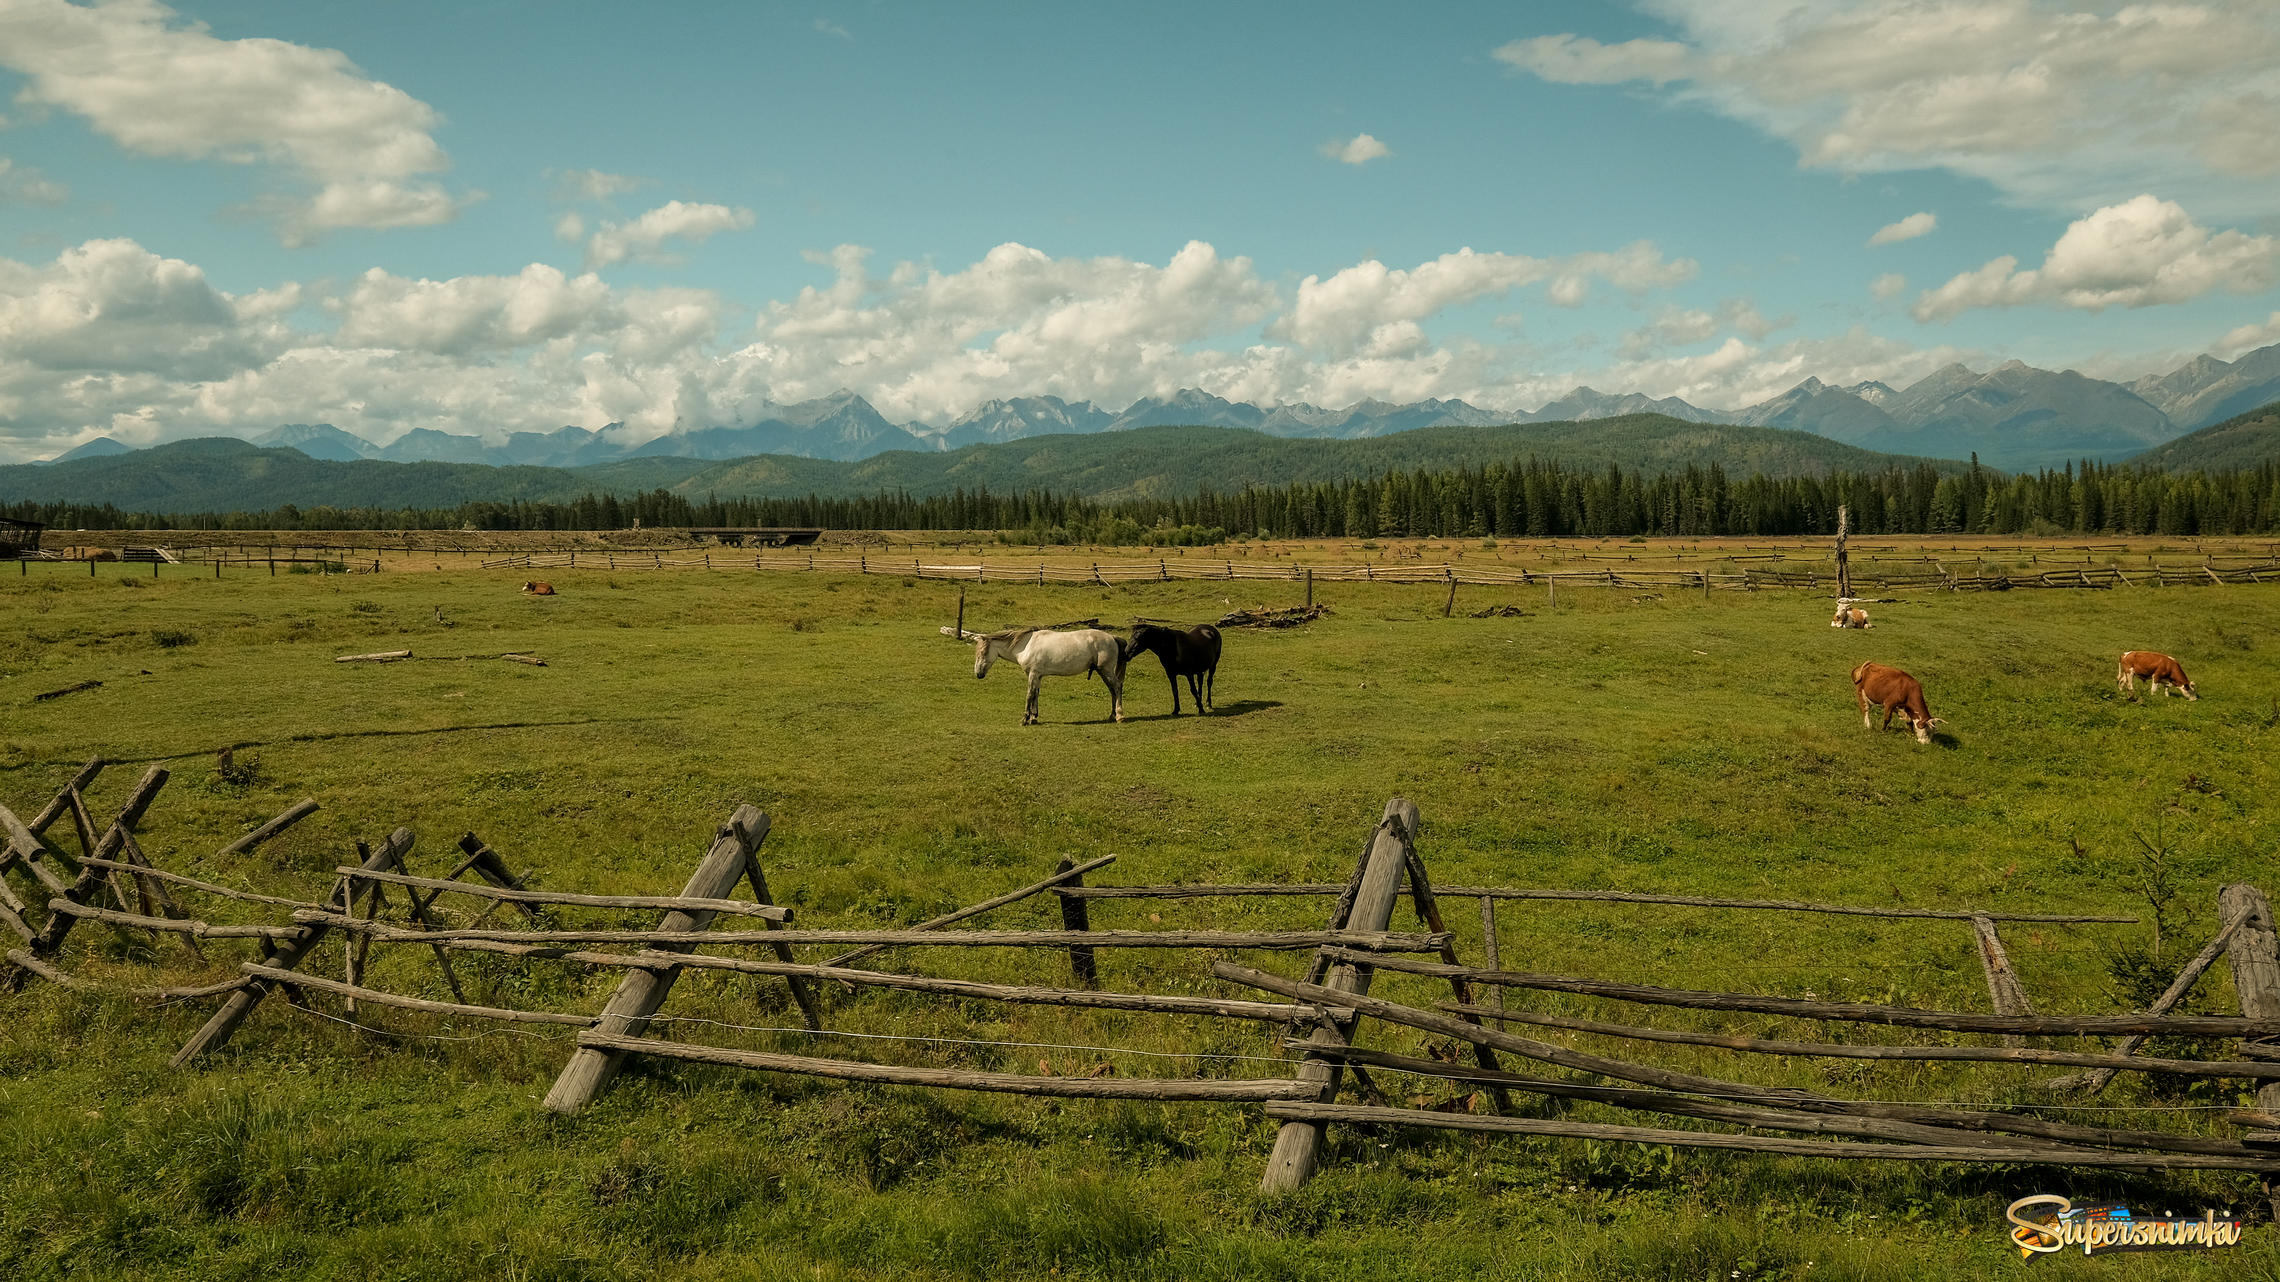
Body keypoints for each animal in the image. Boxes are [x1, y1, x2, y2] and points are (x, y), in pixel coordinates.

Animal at [939, 625, 1126, 725]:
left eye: (982, 653)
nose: (978, 673)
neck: (1025, 645)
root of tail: (1112, 637)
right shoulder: (1038, 675)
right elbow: (1036, 694)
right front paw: (1034, 718)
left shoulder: (1033, 674)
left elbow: (1029, 695)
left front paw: (1025, 719)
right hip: (1103, 672)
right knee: (1112, 690)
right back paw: (1111, 715)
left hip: (1106, 670)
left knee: (1117, 688)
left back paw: (1119, 715)